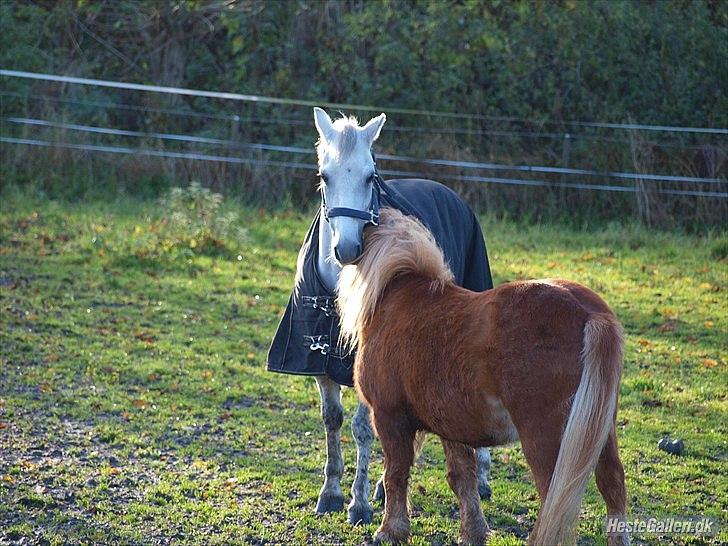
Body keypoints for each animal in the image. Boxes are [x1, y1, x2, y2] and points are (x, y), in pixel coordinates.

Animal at [308, 107, 494, 524]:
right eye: (325, 175)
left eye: (370, 176)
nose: (347, 249)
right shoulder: (319, 359)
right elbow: (332, 419)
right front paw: (330, 493)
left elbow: (362, 428)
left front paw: (358, 502)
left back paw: (481, 480)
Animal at [338, 206, 628, 540]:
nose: (341, 249)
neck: (395, 294)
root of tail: (590, 312)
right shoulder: (451, 424)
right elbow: (462, 478)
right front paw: (473, 532)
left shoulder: (389, 417)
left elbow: (395, 474)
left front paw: (390, 531)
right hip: (600, 431)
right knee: (613, 487)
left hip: (547, 439)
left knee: (554, 499)